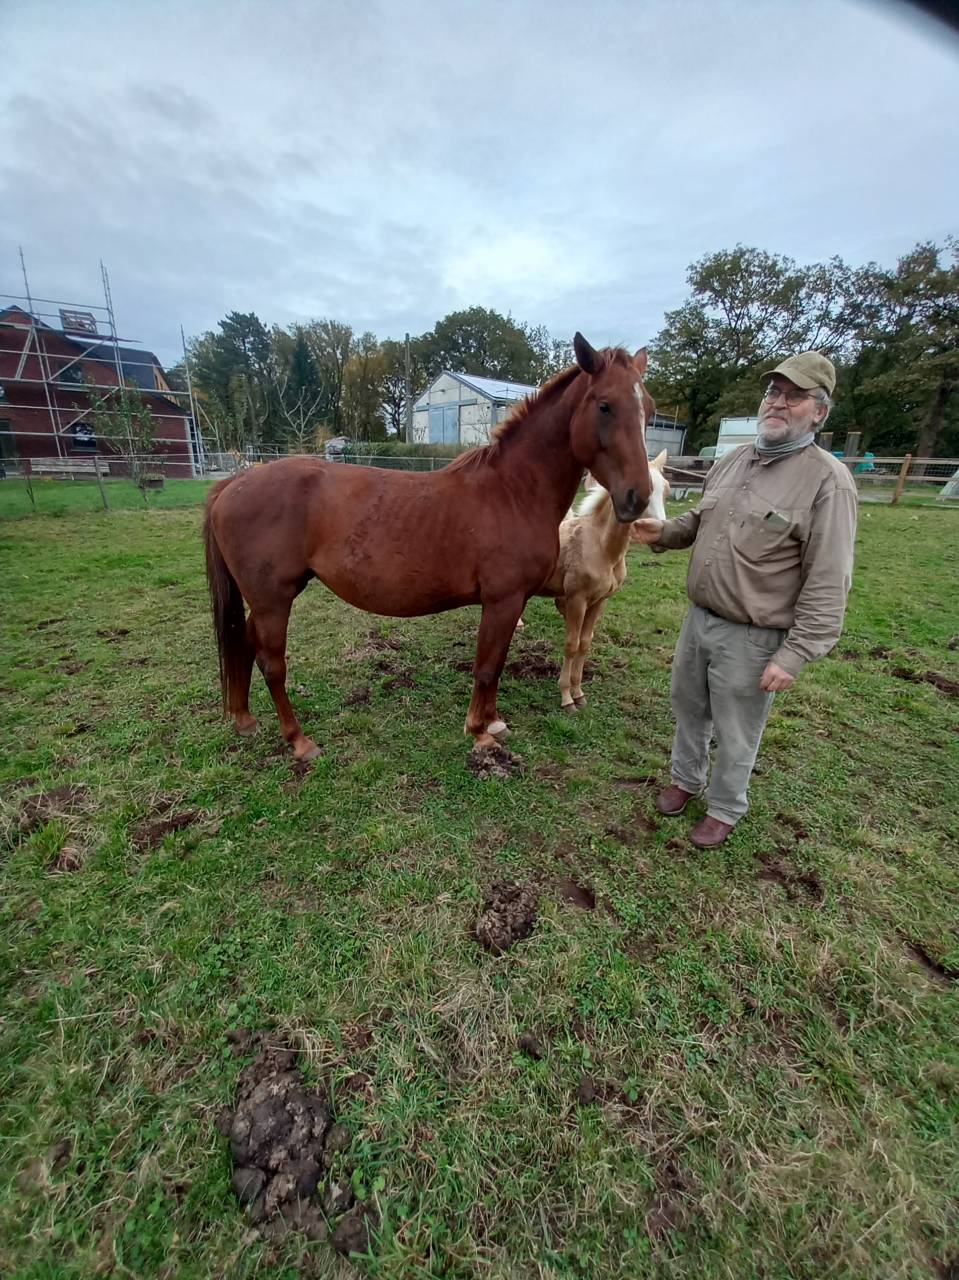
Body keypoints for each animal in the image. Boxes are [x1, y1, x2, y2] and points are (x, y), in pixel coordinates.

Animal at [203, 333, 654, 762]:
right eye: (605, 406)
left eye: (648, 409)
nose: (638, 497)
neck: (512, 491)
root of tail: (232, 484)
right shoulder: (503, 600)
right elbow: (487, 666)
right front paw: (479, 733)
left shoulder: (515, 602)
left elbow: (498, 663)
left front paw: (494, 722)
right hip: (273, 600)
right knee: (272, 664)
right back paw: (299, 741)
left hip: (269, 599)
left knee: (245, 643)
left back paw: (245, 720)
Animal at [534, 450, 669, 710]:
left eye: (666, 490)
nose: (659, 539)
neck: (601, 546)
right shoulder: (577, 600)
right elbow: (571, 643)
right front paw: (566, 698)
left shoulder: (600, 601)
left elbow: (585, 642)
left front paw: (579, 693)